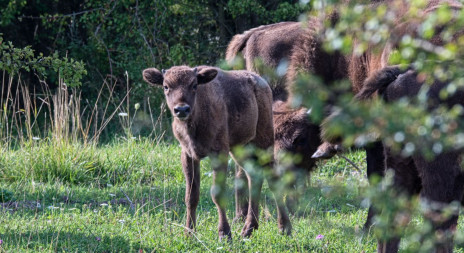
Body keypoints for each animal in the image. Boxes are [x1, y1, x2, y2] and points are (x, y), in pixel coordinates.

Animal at [143, 65, 292, 239]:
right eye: (166, 86)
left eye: (194, 85)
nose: (181, 109)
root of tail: (261, 81)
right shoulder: (188, 155)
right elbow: (191, 196)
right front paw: (189, 233)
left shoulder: (219, 153)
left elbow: (217, 194)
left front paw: (224, 234)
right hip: (239, 149)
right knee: (253, 177)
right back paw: (248, 230)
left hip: (264, 142)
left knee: (272, 178)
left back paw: (284, 228)